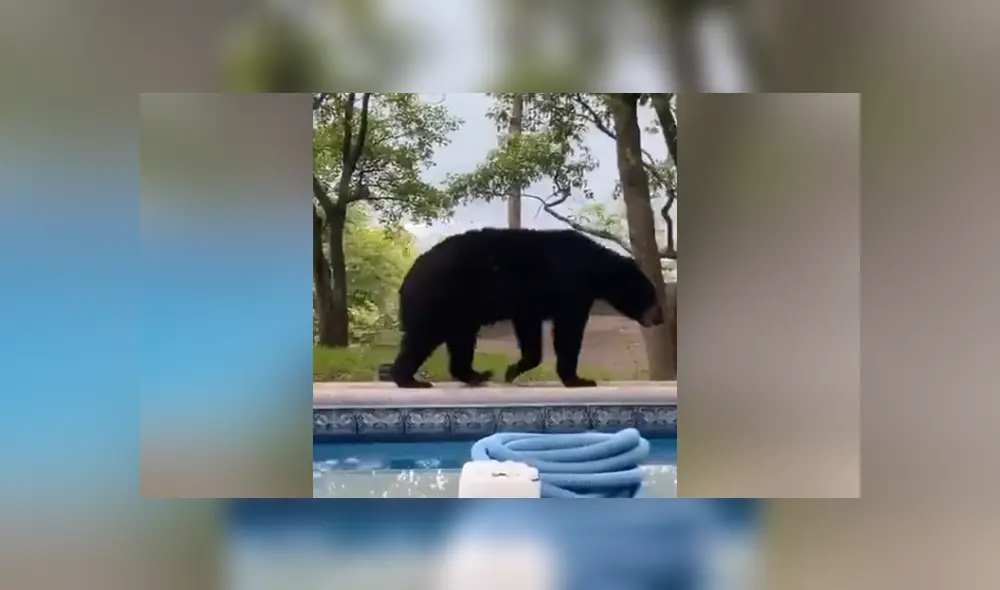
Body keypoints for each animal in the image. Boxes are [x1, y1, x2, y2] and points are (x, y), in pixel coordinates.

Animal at [389, 227, 665, 388]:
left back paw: (476, 375)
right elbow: (568, 331)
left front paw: (512, 371)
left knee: (461, 341)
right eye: (652, 296)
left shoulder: (530, 304)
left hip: (460, 311)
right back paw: (409, 380)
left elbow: (530, 329)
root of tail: (408, 276)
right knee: (423, 338)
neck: (595, 267)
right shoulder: (571, 287)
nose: (661, 318)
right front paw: (579, 379)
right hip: (442, 299)